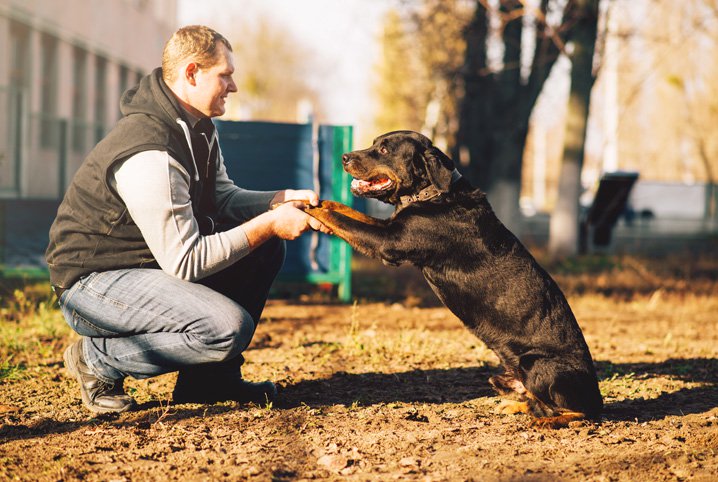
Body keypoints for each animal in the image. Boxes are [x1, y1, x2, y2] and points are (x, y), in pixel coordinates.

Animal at [306, 130, 604, 428]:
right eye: (374, 144)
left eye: (384, 150)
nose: (344, 157)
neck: (432, 194)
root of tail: (597, 398)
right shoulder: (390, 228)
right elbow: (347, 212)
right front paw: (318, 200)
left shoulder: (388, 242)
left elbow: (343, 221)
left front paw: (306, 207)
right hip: (500, 377)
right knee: (539, 403)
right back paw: (516, 407)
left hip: (536, 364)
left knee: (578, 413)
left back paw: (546, 421)